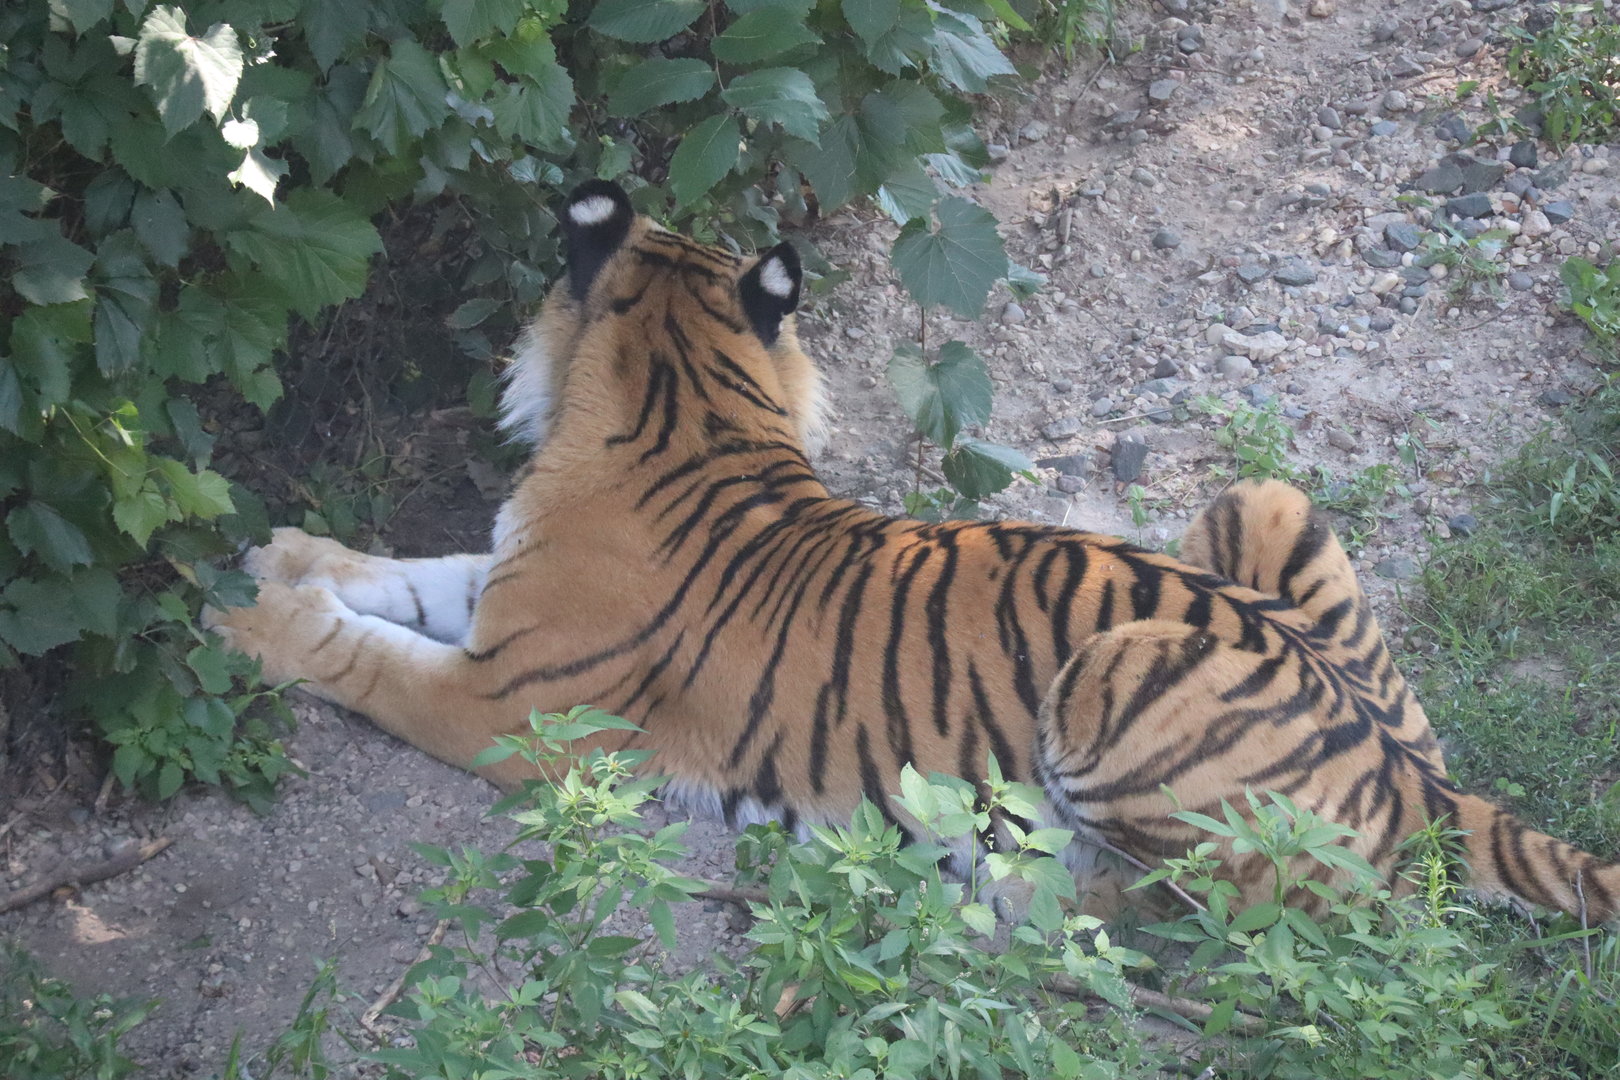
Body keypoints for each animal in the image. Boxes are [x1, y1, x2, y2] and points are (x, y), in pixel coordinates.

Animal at [207, 180, 1619, 923]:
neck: (689, 402)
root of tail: (1420, 781)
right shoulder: (503, 597)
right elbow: (404, 574)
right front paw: (285, 551)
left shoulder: (512, 708)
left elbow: (373, 661)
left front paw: (252, 622)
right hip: (1262, 500)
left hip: (1112, 679)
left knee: (1186, 910)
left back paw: (971, 880)